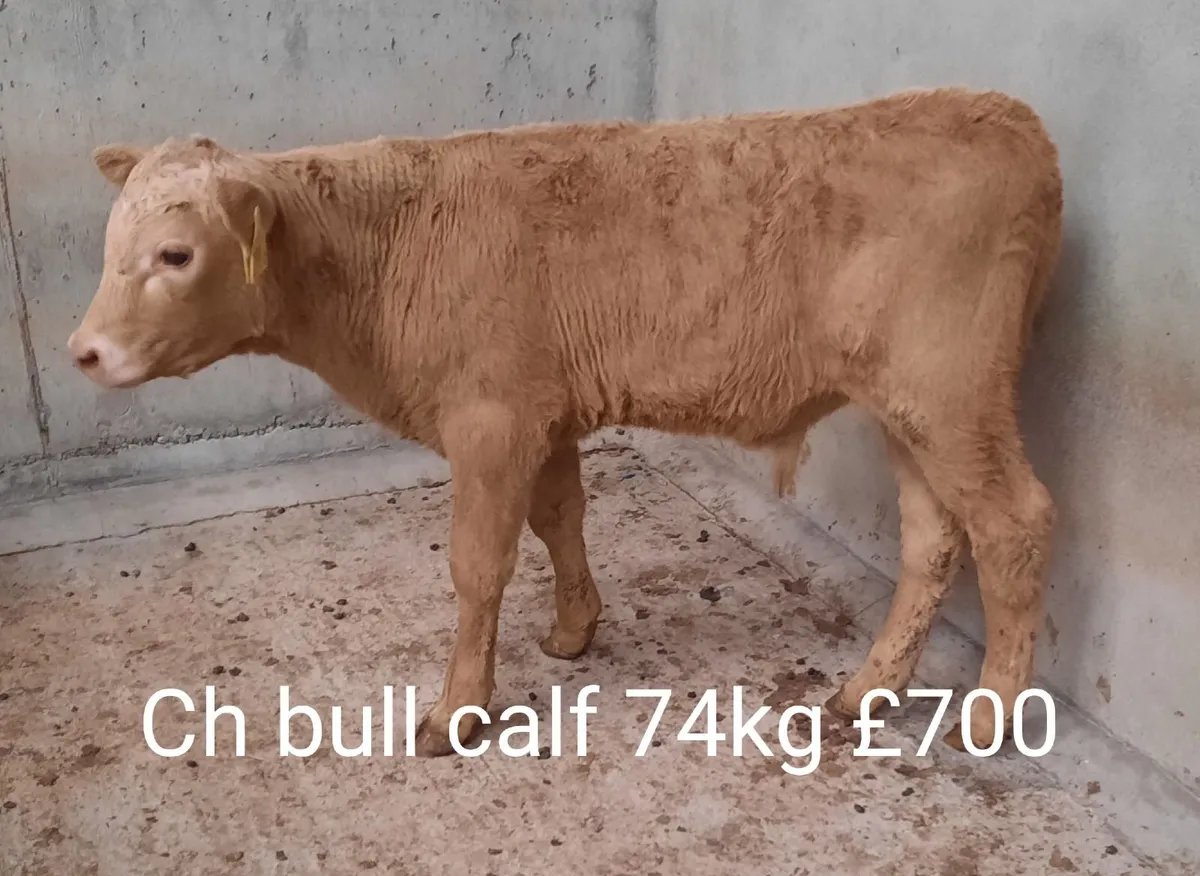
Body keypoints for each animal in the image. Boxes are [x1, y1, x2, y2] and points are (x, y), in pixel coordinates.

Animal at [68, 86, 1063, 757]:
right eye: (111, 245)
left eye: (175, 254)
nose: (83, 352)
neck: (382, 248)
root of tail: (1004, 115)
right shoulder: (542, 415)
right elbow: (559, 521)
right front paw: (575, 631)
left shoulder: (491, 419)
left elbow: (479, 566)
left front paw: (457, 710)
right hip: (911, 410)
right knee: (935, 539)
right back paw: (866, 693)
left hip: (953, 394)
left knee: (1014, 523)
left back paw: (990, 715)